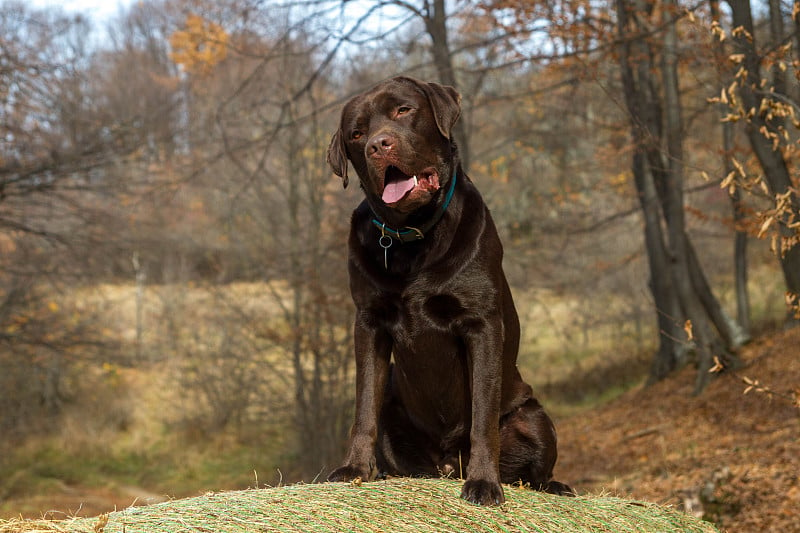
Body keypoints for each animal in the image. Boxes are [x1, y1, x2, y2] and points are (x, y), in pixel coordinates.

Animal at [324, 77, 568, 504]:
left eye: (403, 110)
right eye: (356, 133)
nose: (378, 145)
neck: (413, 236)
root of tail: (447, 466)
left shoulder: (481, 324)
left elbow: (482, 417)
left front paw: (484, 482)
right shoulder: (369, 324)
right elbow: (363, 406)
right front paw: (355, 469)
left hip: (533, 416)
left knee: (535, 470)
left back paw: (553, 486)